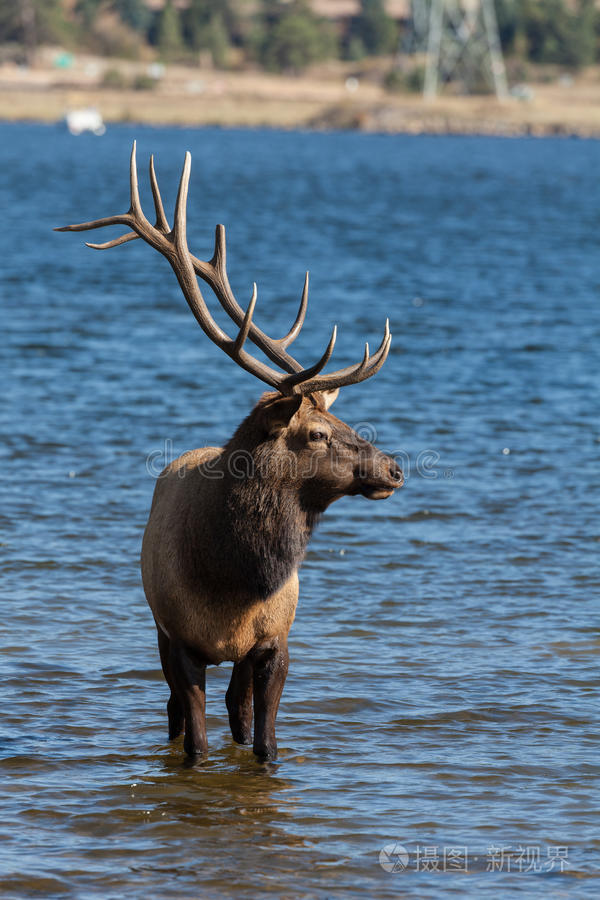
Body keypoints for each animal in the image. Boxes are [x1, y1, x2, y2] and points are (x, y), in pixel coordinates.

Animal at [57, 143, 403, 761]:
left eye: (341, 419)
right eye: (317, 434)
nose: (393, 467)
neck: (235, 582)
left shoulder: (275, 641)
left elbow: (263, 743)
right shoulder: (177, 640)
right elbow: (195, 744)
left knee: (235, 712)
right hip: (157, 630)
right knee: (174, 713)